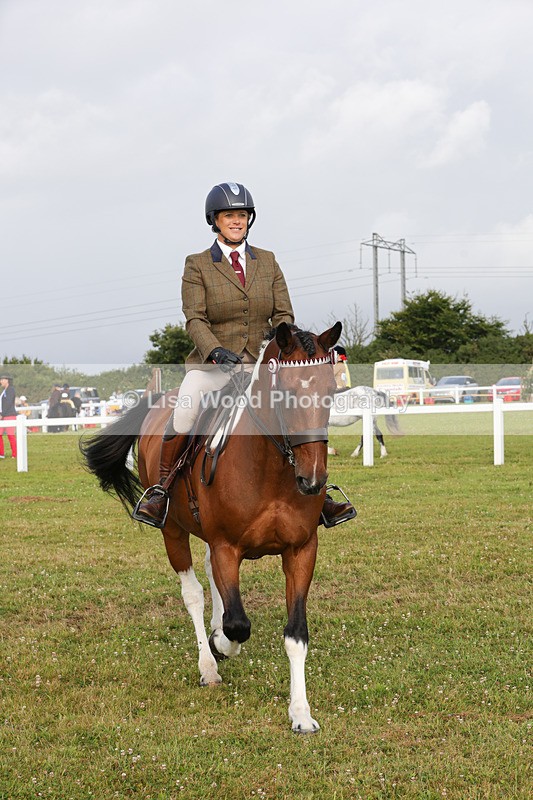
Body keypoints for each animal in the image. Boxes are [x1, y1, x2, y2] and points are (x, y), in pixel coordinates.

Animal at [81, 321, 342, 734]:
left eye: (330, 391)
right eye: (286, 393)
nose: (313, 480)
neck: (270, 469)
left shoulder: (301, 550)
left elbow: (295, 634)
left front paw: (301, 713)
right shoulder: (226, 546)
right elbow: (237, 624)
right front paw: (221, 645)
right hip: (172, 531)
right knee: (194, 592)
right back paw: (209, 664)